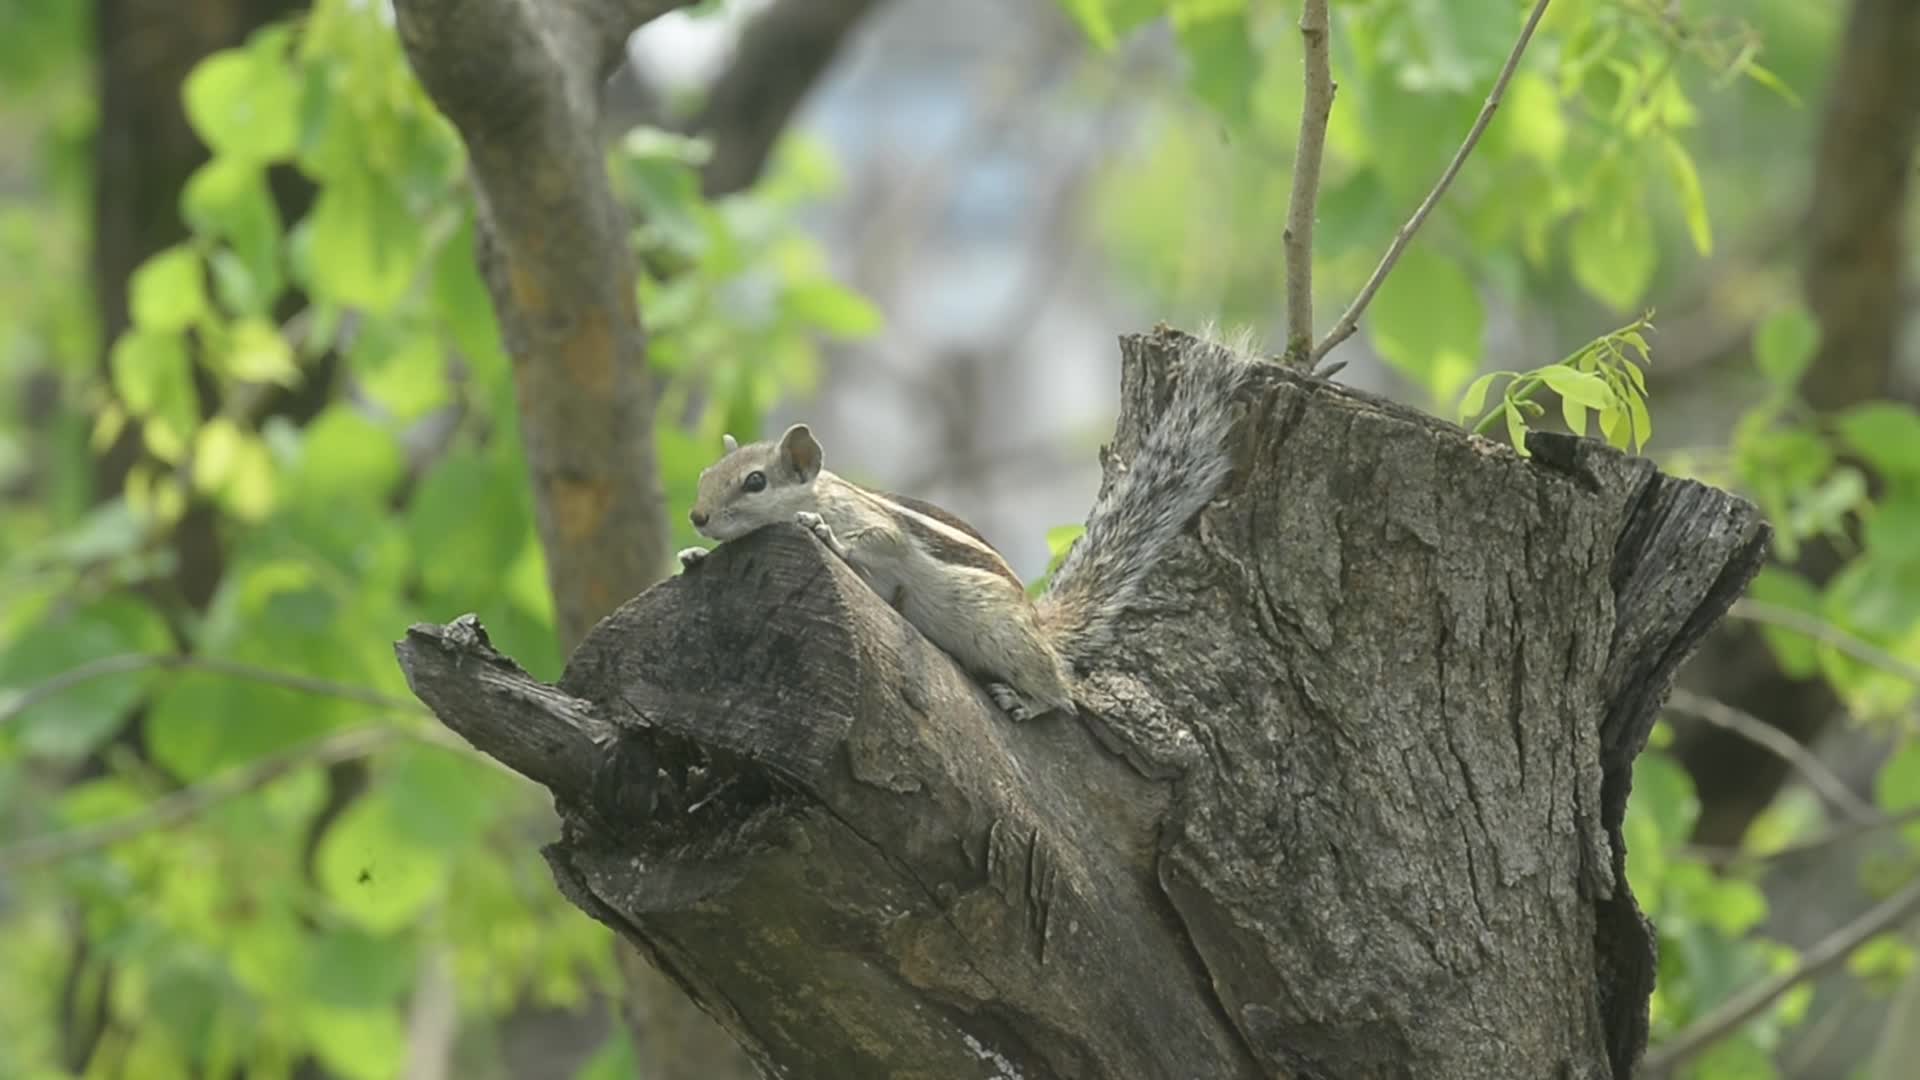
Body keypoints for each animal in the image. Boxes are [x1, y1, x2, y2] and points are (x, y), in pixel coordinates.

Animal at [676, 332, 1255, 722]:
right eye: (705, 476)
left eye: (755, 482)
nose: (698, 517)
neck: (824, 489)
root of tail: (1038, 623)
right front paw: (692, 557)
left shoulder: (876, 525)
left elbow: (879, 541)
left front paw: (823, 533)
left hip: (1005, 638)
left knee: (1061, 692)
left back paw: (1026, 701)